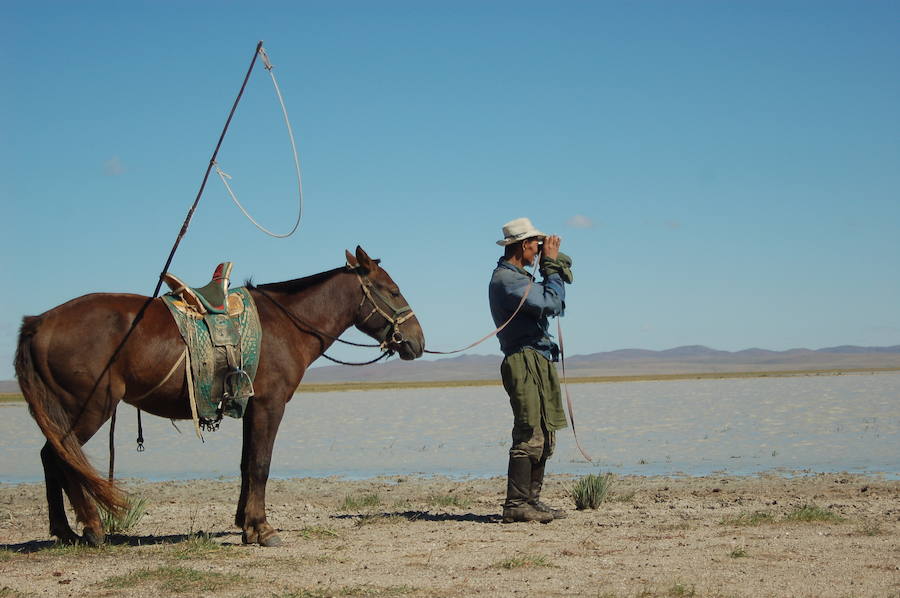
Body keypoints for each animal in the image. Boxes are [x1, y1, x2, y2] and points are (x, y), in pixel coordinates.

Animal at [15, 247, 426, 548]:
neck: (286, 323)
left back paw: (65, 531)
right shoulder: (270, 404)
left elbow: (246, 465)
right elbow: (260, 464)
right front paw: (263, 530)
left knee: (51, 457)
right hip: (89, 408)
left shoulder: (249, 406)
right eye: (393, 290)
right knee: (62, 457)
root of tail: (40, 321)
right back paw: (92, 528)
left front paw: (245, 524)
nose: (417, 342)